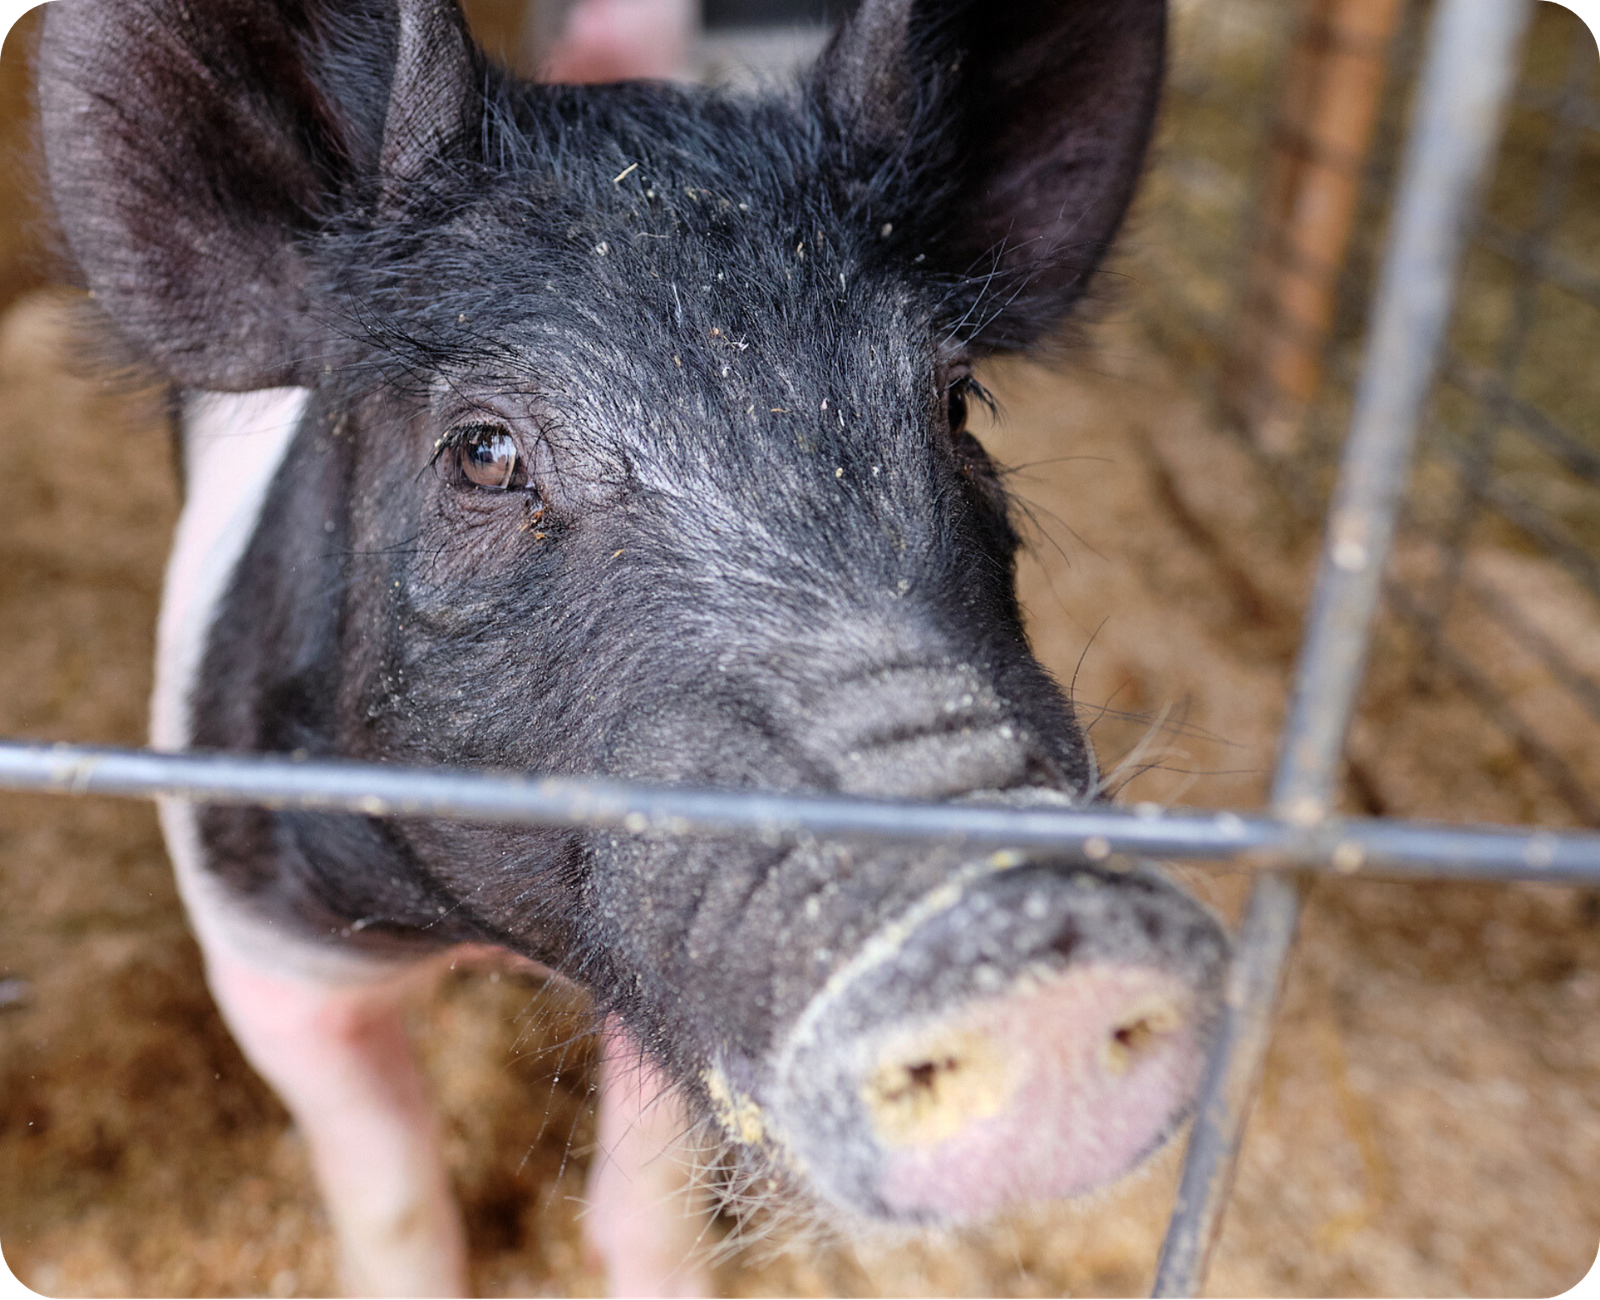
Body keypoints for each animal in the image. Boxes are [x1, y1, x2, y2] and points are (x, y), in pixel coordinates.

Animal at [37, 0, 1230, 1295]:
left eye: (957, 402)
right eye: (484, 453)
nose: (1027, 924)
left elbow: (653, 1171)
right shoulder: (258, 933)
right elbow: (386, 1185)